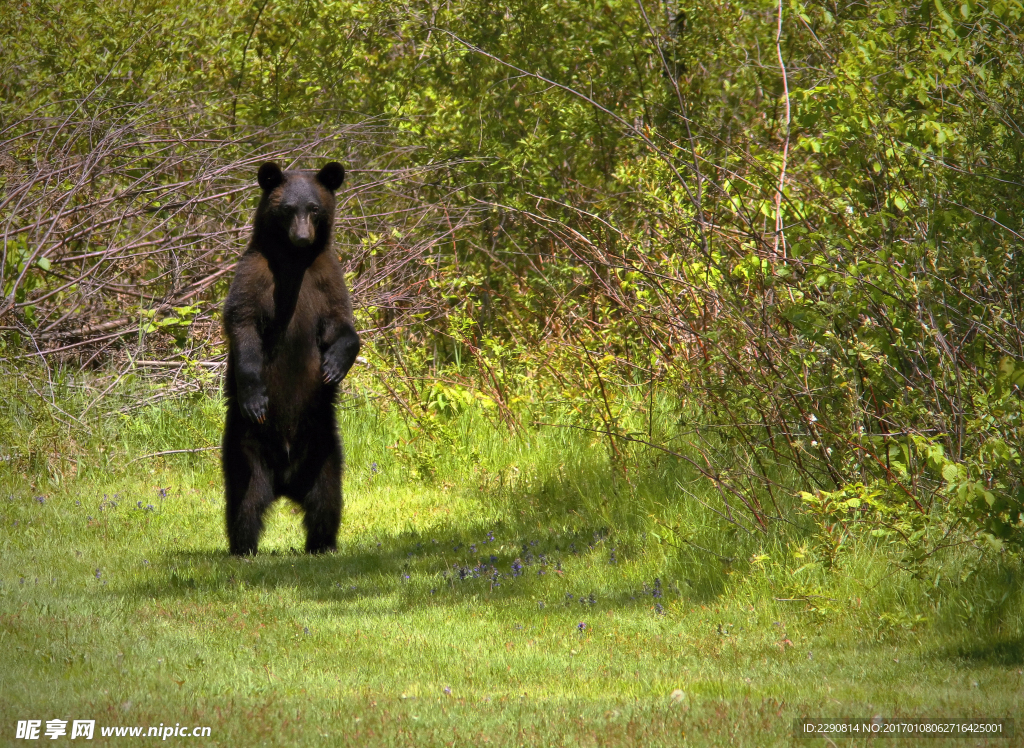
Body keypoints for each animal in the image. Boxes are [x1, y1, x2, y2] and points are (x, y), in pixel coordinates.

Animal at [221, 161, 360, 556]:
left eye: (313, 208)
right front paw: (255, 396)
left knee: (327, 501)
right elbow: (243, 325)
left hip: (323, 450)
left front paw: (333, 367)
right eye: (287, 209)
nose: (301, 237)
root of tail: (284, 482)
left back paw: (321, 545)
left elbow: (343, 324)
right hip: (245, 447)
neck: (295, 262)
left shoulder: (326, 278)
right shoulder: (254, 275)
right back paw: (244, 549)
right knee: (244, 503)